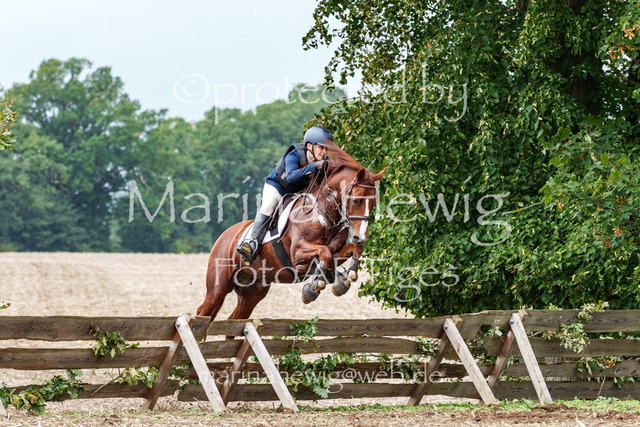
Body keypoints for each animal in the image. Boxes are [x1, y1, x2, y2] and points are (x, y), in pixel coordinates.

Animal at [196, 143, 385, 322]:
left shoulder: (335, 252)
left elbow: (352, 251)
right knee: (203, 311)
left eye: (374, 204)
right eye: (356, 200)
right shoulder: (297, 253)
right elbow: (324, 252)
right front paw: (312, 288)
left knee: (235, 319)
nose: (359, 236)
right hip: (218, 286)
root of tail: (225, 236)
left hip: (253, 290)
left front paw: (345, 280)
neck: (323, 214)